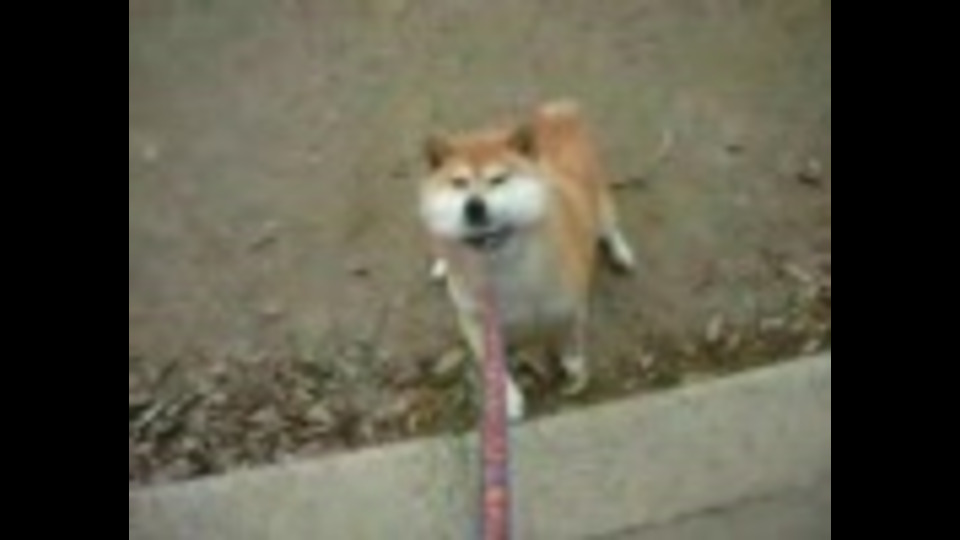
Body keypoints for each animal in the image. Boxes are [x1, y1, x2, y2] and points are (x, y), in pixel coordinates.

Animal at [418, 99, 635, 420]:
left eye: (498, 179)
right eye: (459, 183)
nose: (474, 206)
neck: (498, 259)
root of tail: (556, 114)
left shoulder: (570, 305)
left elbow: (570, 334)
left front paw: (574, 362)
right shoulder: (475, 320)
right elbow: (493, 366)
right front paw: (507, 399)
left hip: (601, 204)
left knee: (609, 227)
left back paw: (621, 252)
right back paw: (442, 263)